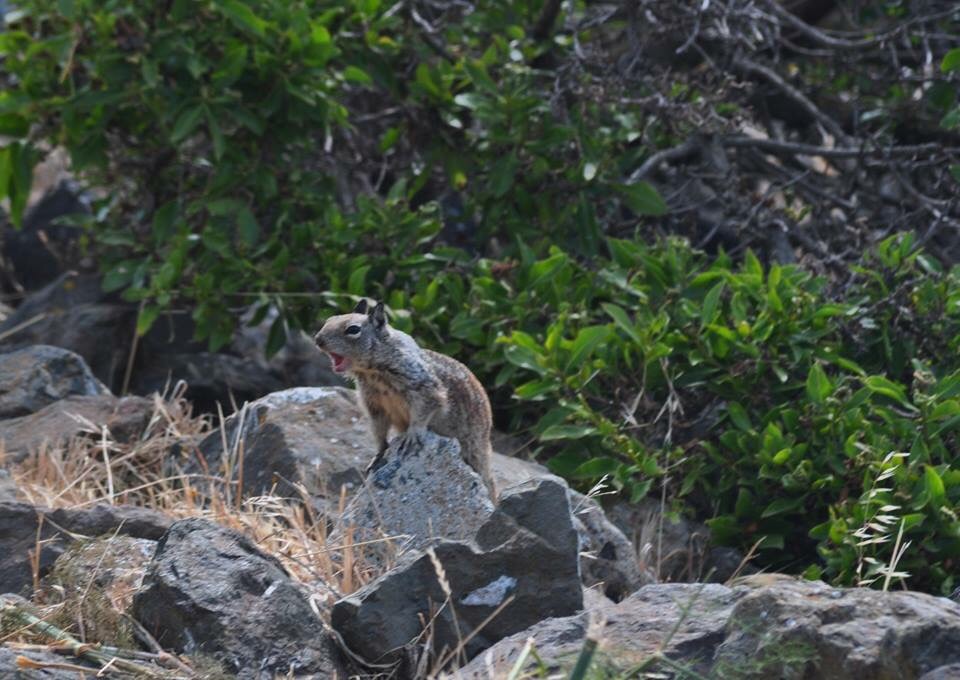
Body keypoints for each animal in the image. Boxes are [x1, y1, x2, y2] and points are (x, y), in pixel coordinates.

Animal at [314, 299, 496, 497]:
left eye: (353, 329)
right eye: (329, 319)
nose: (318, 340)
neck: (371, 373)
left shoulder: (425, 388)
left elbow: (423, 413)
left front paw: (412, 436)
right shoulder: (374, 405)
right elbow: (378, 430)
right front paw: (379, 453)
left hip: (474, 449)